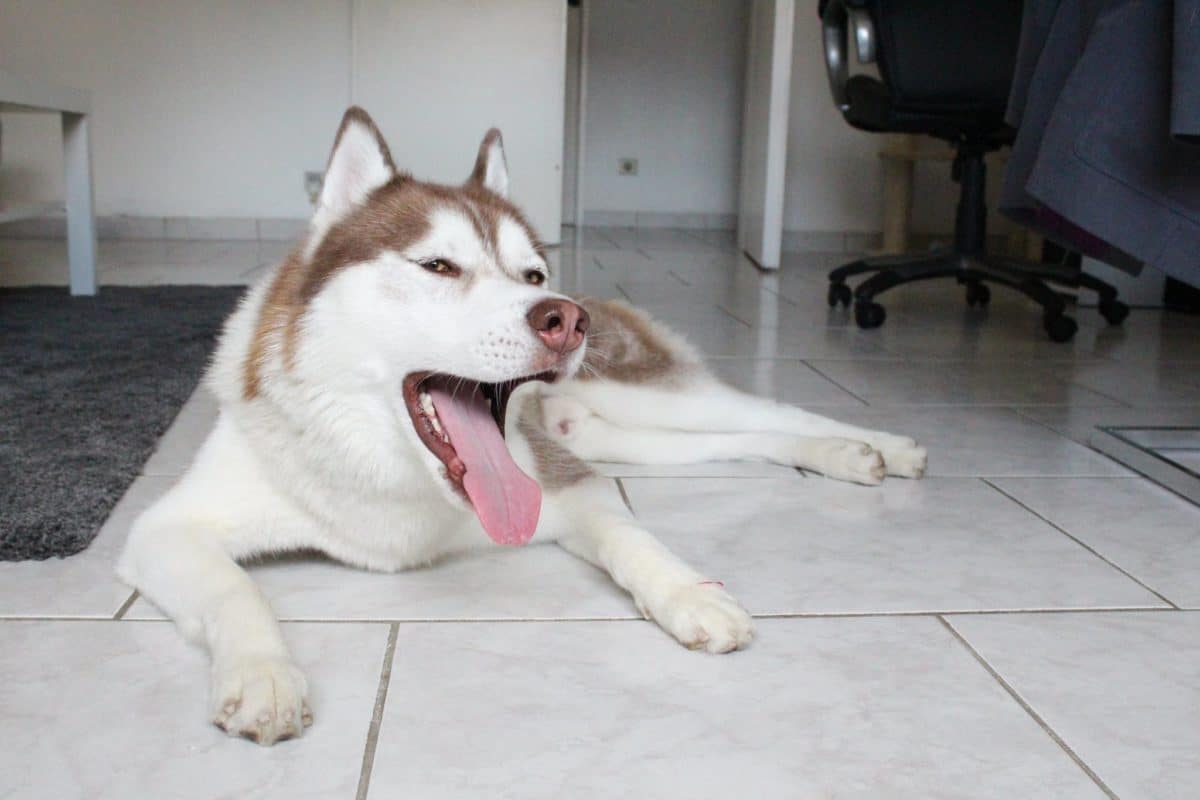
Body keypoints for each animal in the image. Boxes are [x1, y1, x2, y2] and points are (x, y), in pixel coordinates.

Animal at [117, 106, 921, 743]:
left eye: (532, 275)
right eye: (439, 266)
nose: (565, 318)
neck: (392, 473)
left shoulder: (569, 484)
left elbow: (632, 536)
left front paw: (691, 592)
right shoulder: (163, 532)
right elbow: (236, 591)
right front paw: (265, 676)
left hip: (638, 398)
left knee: (764, 410)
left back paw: (873, 446)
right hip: (606, 433)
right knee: (735, 440)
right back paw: (842, 453)